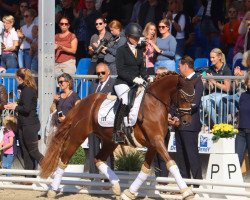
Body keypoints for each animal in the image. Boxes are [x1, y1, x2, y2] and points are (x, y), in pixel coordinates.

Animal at [39, 71, 195, 199]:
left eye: (193, 96)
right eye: (183, 96)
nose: (186, 121)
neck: (155, 103)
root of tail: (83, 102)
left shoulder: (153, 145)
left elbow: (145, 170)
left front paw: (129, 193)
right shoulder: (156, 141)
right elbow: (172, 164)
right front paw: (187, 192)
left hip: (110, 141)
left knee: (98, 159)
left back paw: (116, 187)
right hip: (78, 136)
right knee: (64, 159)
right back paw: (52, 190)